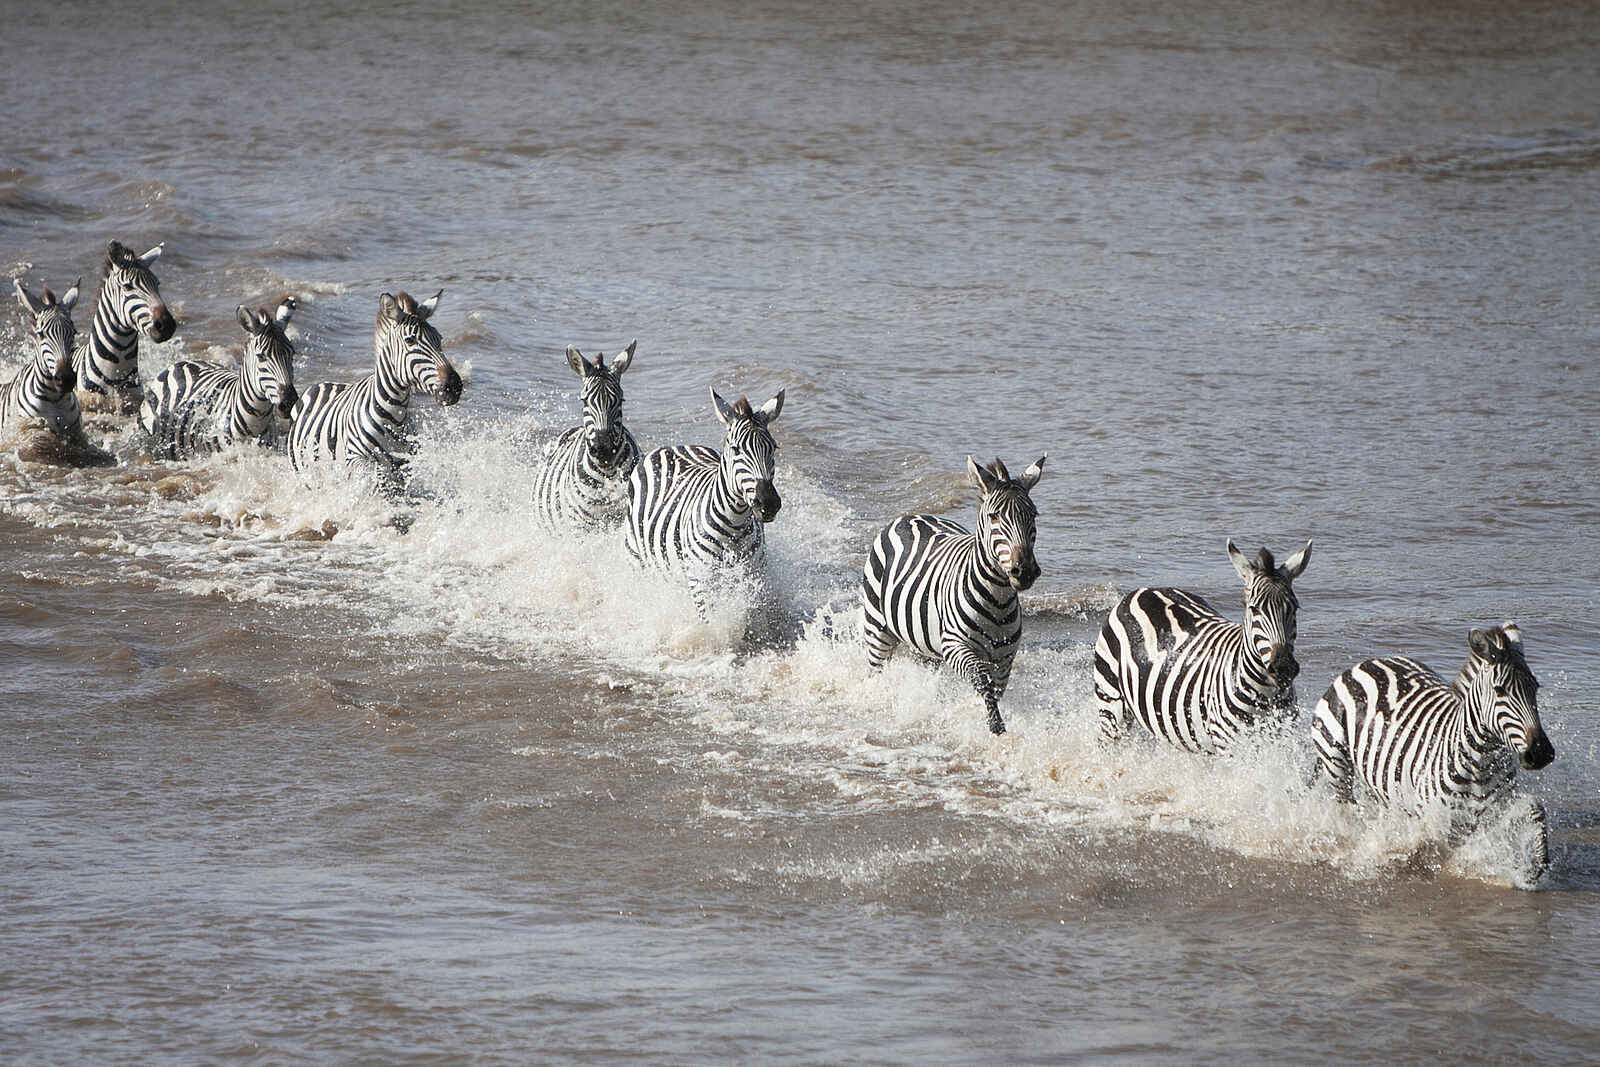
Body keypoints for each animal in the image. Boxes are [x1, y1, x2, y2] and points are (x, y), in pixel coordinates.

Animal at [286, 290, 463, 484]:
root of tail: (324, 383)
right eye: (410, 340)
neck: (395, 415)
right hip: (303, 472)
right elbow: (375, 477)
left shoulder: (405, 464)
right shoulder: (355, 459)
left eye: (439, 339)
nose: (454, 386)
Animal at [625, 386, 785, 584]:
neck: (736, 526)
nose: (769, 503)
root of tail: (675, 446)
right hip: (636, 556)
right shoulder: (701, 579)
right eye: (736, 449)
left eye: (774, 447)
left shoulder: (756, 577)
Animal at [861, 454, 1046, 735]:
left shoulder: (1004, 659)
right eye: (994, 516)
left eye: (1032, 515)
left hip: (925, 646)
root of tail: (911, 516)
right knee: (875, 670)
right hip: (878, 630)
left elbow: (996, 691)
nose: (1024, 571)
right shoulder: (954, 646)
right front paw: (995, 727)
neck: (999, 599)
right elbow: (981, 680)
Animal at [1093, 539, 1312, 754]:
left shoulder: (1281, 741)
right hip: (1111, 706)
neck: (1266, 695)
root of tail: (1144, 590)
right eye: (1254, 609)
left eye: (1294, 608)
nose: (1284, 667)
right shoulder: (1228, 744)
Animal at [1312, 623, 1555, 879]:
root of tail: (1365, 663)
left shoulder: (1496, 807)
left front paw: (1537, 865)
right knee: (1347, 812)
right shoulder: (1435, 818)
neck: (1480, 762)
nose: (1541, 752)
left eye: (1536, 687)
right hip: (1336, 765)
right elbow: (1430, 848)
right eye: (1500, 691)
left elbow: (1536, 809)